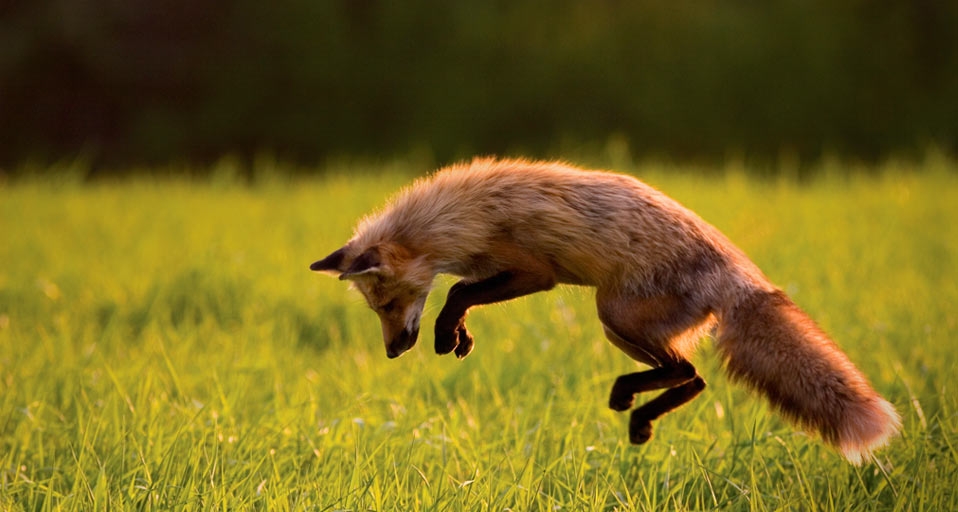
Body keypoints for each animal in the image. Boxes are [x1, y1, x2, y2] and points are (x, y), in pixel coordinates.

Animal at [310, 157, 900, 464]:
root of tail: (742, 275)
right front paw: (459, 338)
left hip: (612, 313)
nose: (394, 351)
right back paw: (639, 415)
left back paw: (631, 405)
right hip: (621, 326)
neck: (458, 218)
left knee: (689, 372)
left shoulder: (534, 271)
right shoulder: (501, 271)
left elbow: (456, 293)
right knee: (695, 378)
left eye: (388, 304)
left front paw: (447, 333)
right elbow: (459, 294)